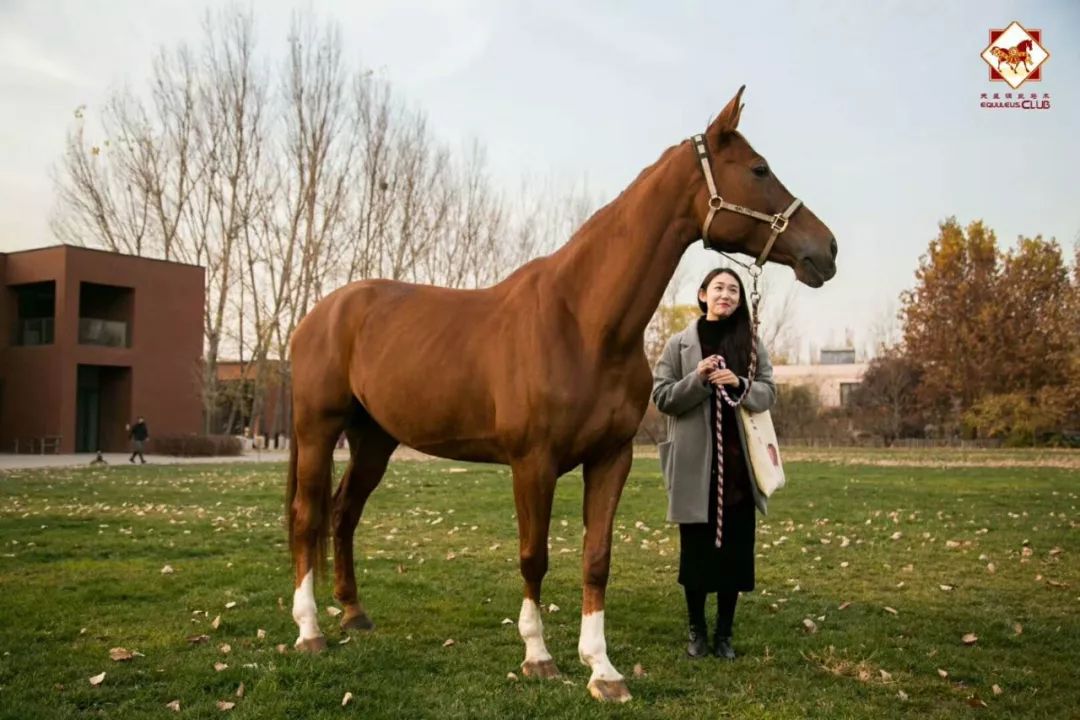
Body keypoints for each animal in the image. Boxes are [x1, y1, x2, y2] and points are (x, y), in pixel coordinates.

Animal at [285, 85, 833, 703]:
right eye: (759, 168)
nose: (827, 249)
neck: (584, 322)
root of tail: (320, 314)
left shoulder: (611, 459)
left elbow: (597, 559)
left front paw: (602, 669)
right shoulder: (533, 463)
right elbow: (534, 557)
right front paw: (538, 657)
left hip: (374, 440)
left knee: (343, 513)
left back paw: (354, 614)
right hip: (317, 430)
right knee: (308, 518)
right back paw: (310, 631)